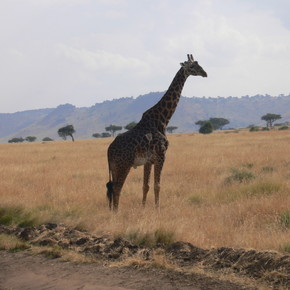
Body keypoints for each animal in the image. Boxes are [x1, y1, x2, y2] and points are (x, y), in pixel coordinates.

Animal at [105, 54, 207, 211]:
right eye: (192, 66)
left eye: (198, 63)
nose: (204, 73)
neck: (163, 119)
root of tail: (109, 150)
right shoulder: (161, 155)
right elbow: (157, 185)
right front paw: (157, 209)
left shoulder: (149, 160)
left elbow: (145, 186)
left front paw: (143, 208)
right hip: (124, 164)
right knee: (117, 187)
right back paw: (117, 212)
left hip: (114, 166)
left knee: (111, 187)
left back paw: (112, 211)